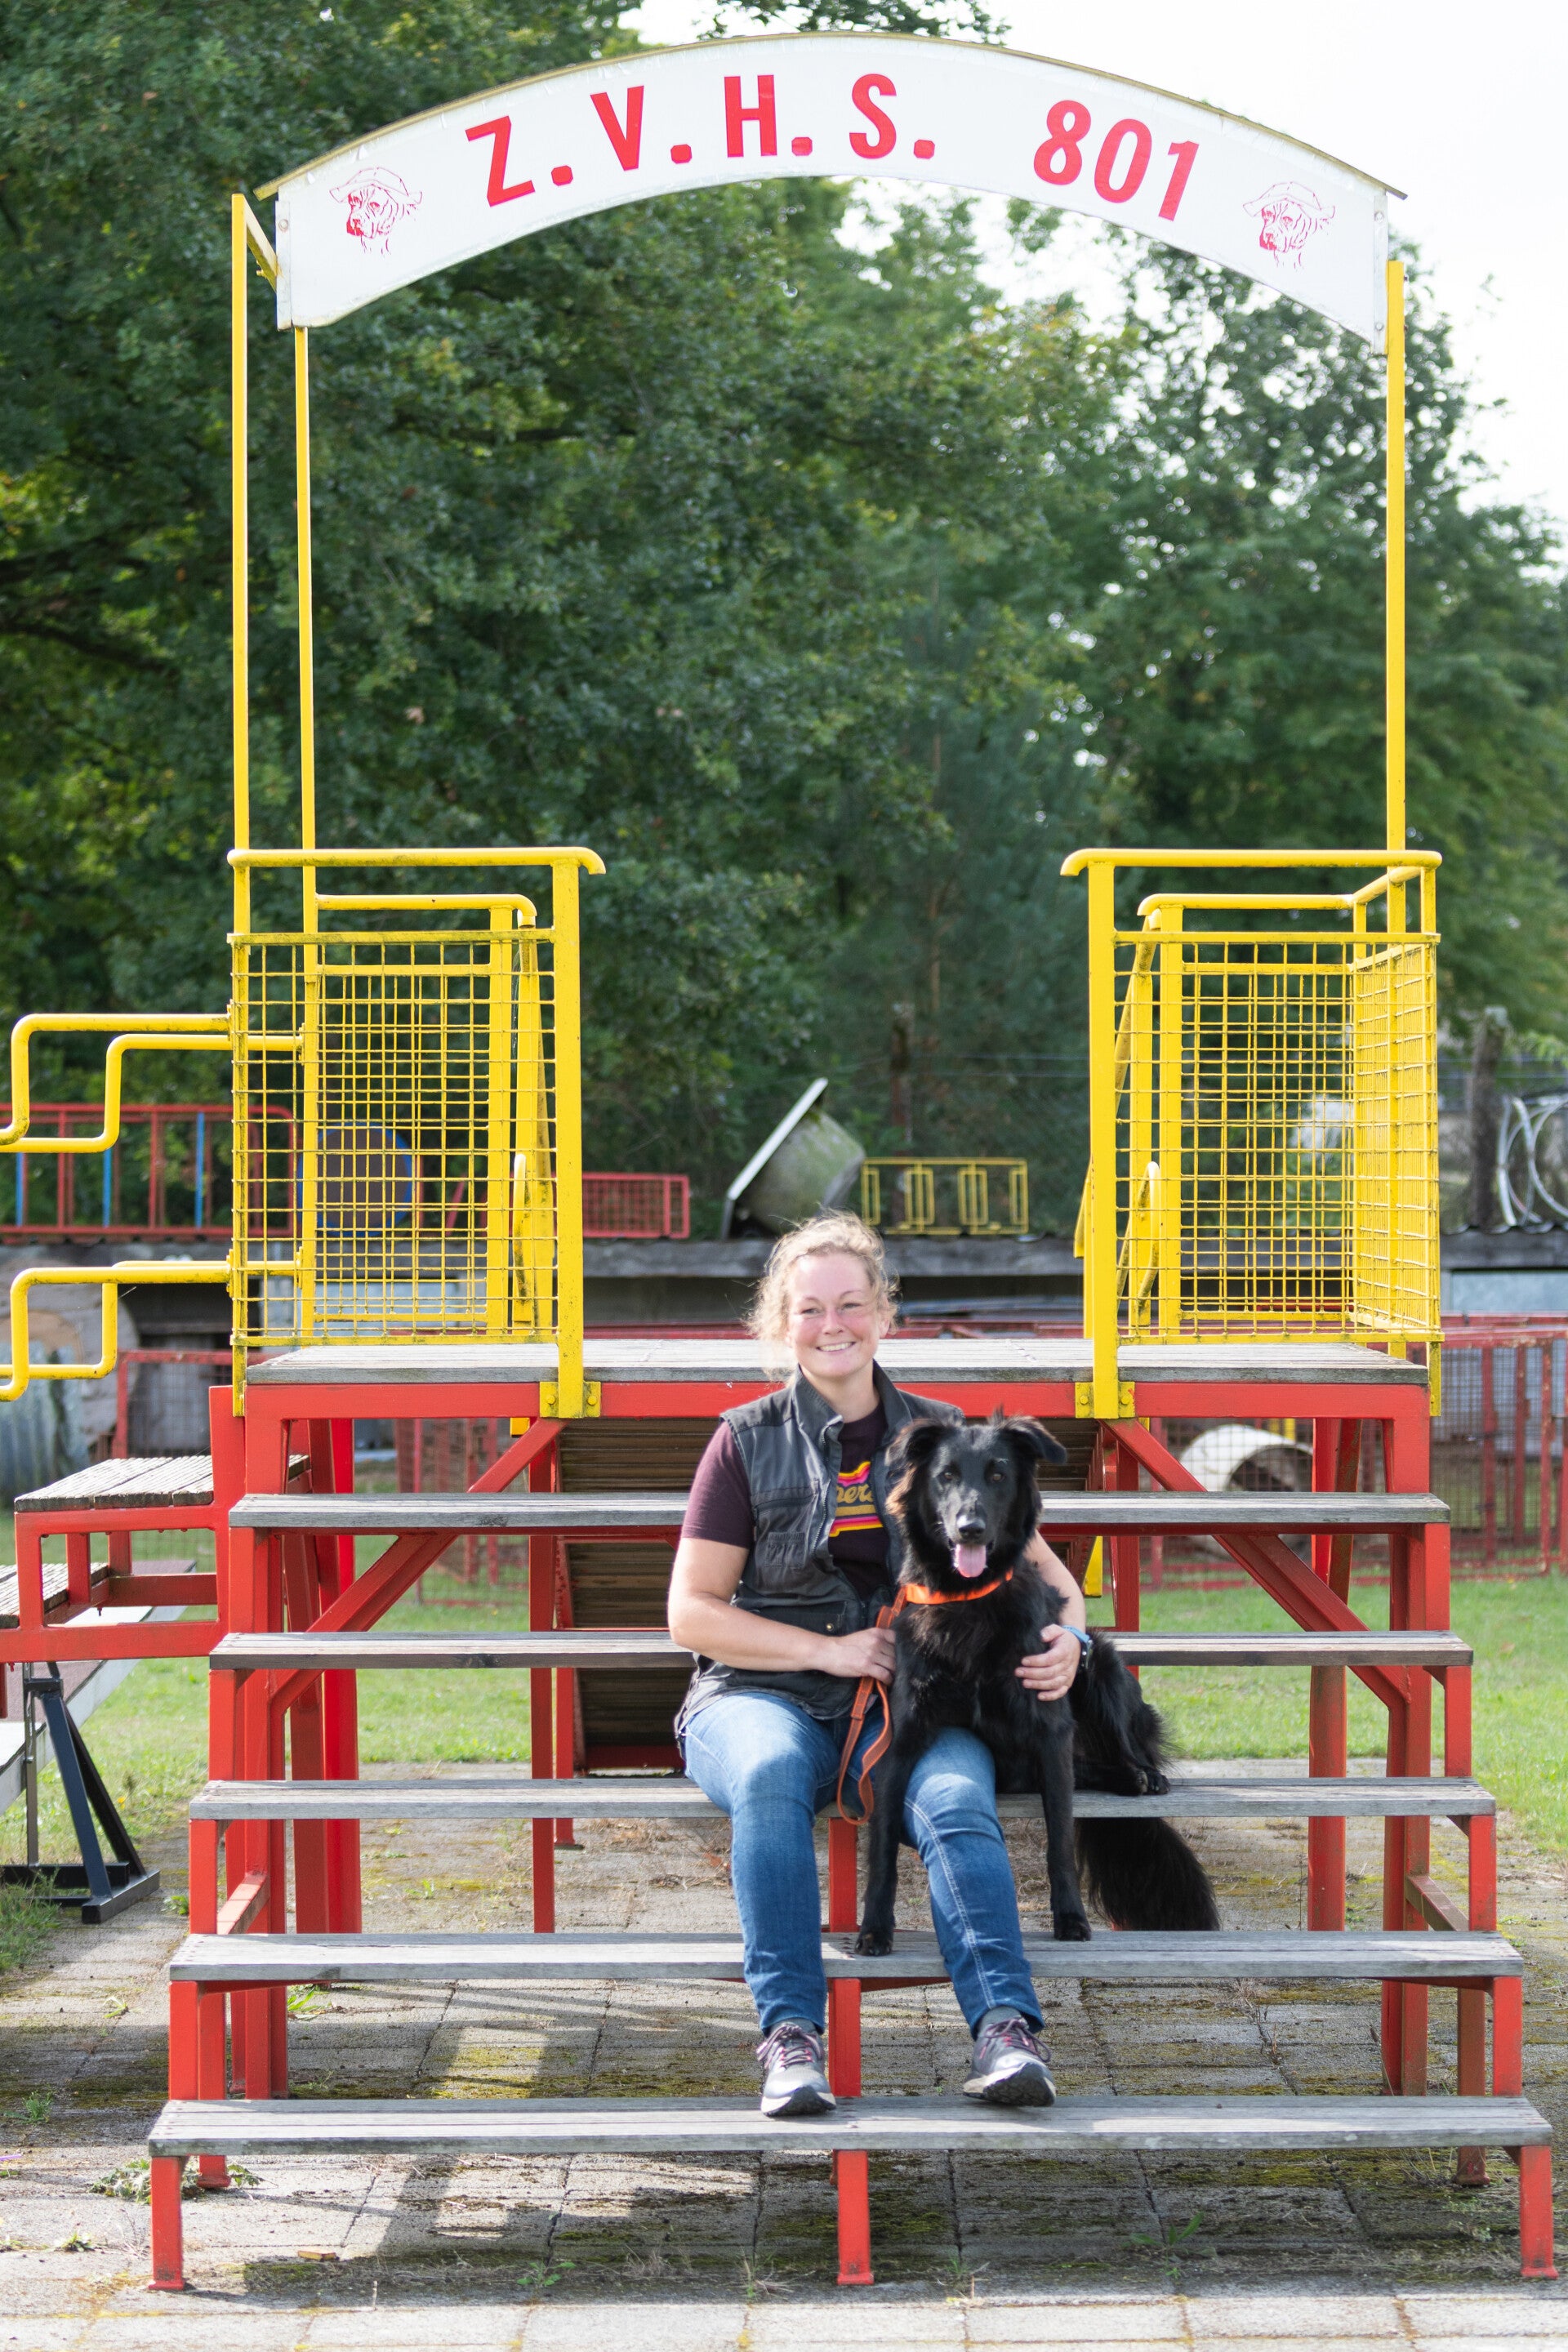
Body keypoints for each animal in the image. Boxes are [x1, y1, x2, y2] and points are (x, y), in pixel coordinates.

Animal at [853, 1412, 1220, 1955]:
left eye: (998, 1475)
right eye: (946, 1476)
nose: (970, 1528)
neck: (969, 1601)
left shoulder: (1051, 1733)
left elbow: (1059, 1843)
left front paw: (1070, 1918)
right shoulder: (903, 1739)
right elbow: (881, 1847)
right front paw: (875, 1927)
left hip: (1100, 1666)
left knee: (1127, 1746)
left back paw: (1143, 1775)